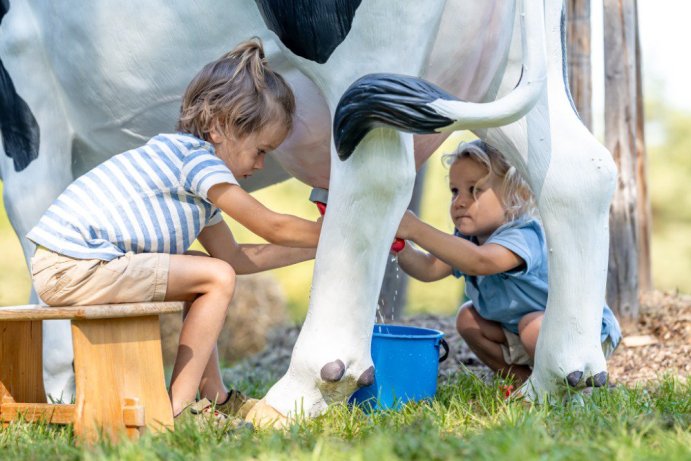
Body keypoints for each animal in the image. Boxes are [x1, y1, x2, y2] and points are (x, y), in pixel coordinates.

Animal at [0, 0, 616, 424]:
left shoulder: (22, 95)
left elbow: (36, 236)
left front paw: (57, 388)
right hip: (518, 66)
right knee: (579, 171)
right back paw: (558, 381)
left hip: (362, 45)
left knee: (375, 173)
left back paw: (299, 392)